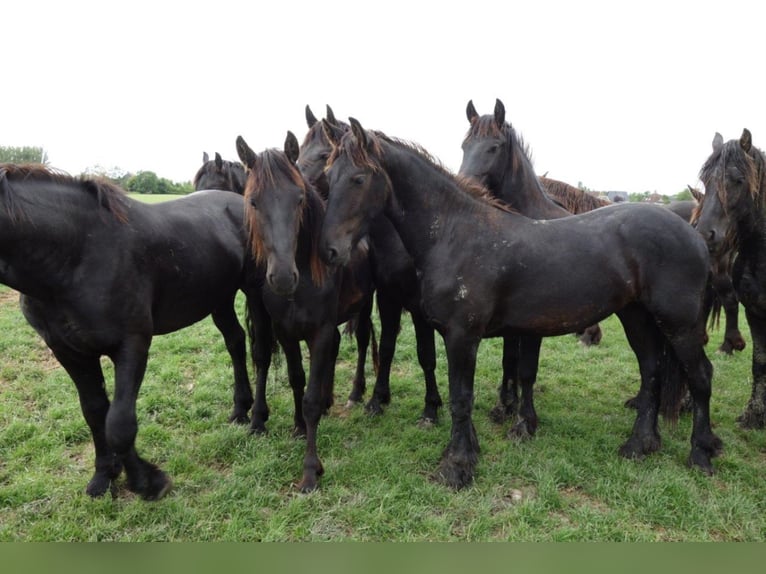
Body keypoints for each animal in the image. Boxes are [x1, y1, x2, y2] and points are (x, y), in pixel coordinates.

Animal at [0, 164, 262, 500]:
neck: (76, 254)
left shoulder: (131, 345)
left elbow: (119, 423)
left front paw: (147, 481)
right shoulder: (70, 353)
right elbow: (94, 412)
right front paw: (104, 476)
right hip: (219, 299)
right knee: (235, 342)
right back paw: (240, 408)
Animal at [236, 131, 375, 491]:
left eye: (299, 199)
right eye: (253, 202)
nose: (284, 277)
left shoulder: (319, 330)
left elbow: (310, 397)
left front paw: (311, 470)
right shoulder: (286, 332)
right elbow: (298, 379)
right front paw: (299, 426)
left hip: (366, 306)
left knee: (363, 341)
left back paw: (354, 394)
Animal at [299, 104, 442, 422]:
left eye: (323, 156)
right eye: (300, 153)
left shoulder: (419, 306)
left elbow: (426, 353)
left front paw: (431, 406)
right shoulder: (388, 296)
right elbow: (387, 347)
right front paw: (377, 398)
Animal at [320, 117, 721, 490]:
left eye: (358, 178)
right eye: (328, 175)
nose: (331, 251)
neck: (456, 233)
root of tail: (696, 235)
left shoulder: (462, 336)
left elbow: (461, 398)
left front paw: (457, 466)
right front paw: (470, 450)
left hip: (679, 323)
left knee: (700, 376)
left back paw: (700, 452)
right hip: (636, 316)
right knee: (651, 371)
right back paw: (640, 444)